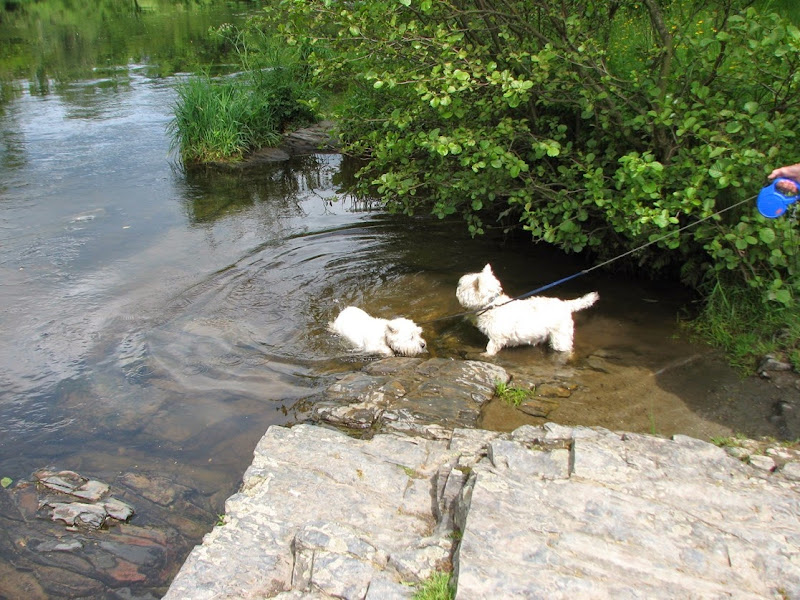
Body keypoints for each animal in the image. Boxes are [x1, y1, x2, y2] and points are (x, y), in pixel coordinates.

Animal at [456, 264, 600, 356]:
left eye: (461, 287)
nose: (457, 290)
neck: (492, 305)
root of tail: (566, 305)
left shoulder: (497, 337)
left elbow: (491, 347)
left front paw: (485, 355)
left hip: (561, 336)